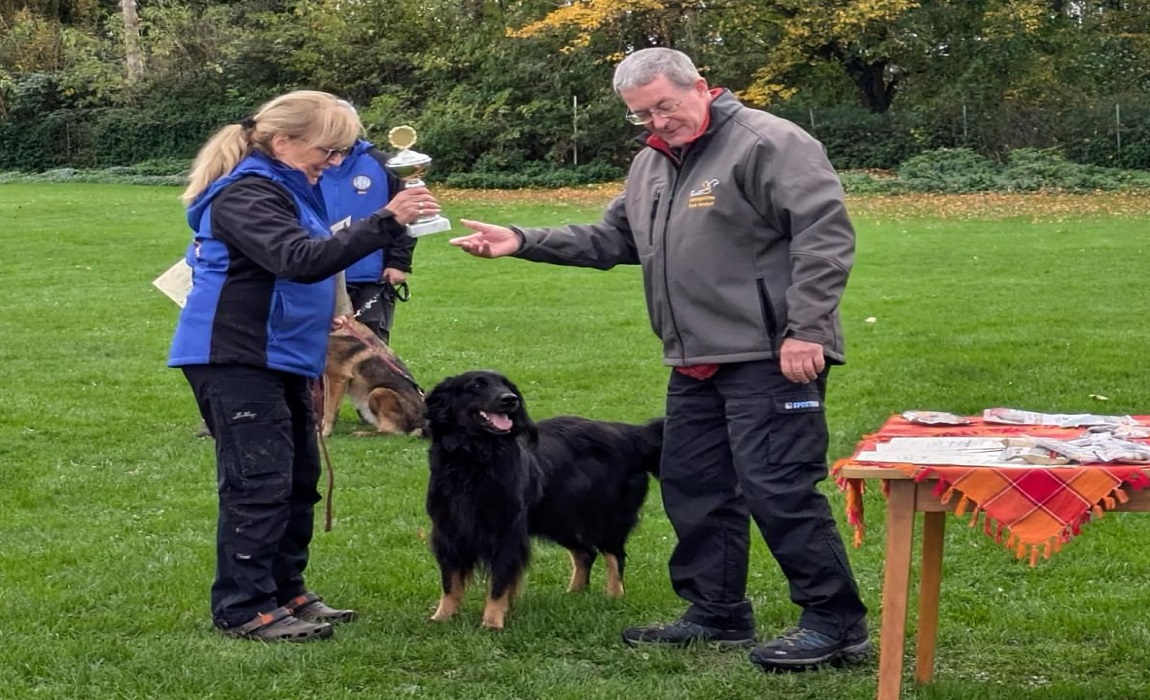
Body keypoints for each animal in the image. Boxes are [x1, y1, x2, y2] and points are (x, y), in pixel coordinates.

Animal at [425, 372, 667, 629]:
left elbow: (500, 582)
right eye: (477, 385)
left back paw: (614, 596)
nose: (510, 400)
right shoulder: (447, 530)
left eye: (508, 386)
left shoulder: (507, 531)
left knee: (614, 555)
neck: (473, 458)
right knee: (586, 552)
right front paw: (442, 617)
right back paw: (574, 593)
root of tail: (631, 435)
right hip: (559, 518)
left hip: (605, 518)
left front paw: (492, 621)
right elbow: (450, 581)